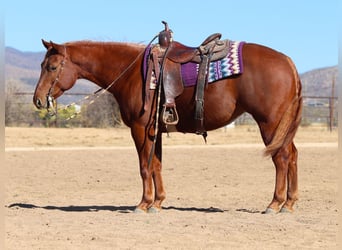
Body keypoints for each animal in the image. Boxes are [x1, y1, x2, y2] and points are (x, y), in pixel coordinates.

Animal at [34, 36, 302, 214]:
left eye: (52, 67)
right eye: (42, 66)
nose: (38, 99)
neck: (131, 72)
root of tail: (288, 62)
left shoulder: (140, 129)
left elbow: (144, 166)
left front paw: (143, 204)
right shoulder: (156, 131)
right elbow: (157, 165)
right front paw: (158, 202)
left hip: (270, 124)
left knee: (281, 158)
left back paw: (275, 204)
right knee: (292, 155)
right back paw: (289, 203)